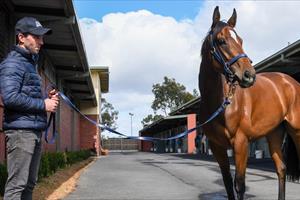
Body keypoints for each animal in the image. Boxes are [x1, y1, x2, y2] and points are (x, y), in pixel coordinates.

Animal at [199, 6, 300, 200]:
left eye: (241, 40)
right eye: (221, 40)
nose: (249, 75)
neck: (223, 103)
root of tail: (292, 82)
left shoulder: (241, 143)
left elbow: (240, 184)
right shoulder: (217, 147)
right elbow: (227, 182)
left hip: (297, 131)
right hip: (274, 133)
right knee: (281, 169)